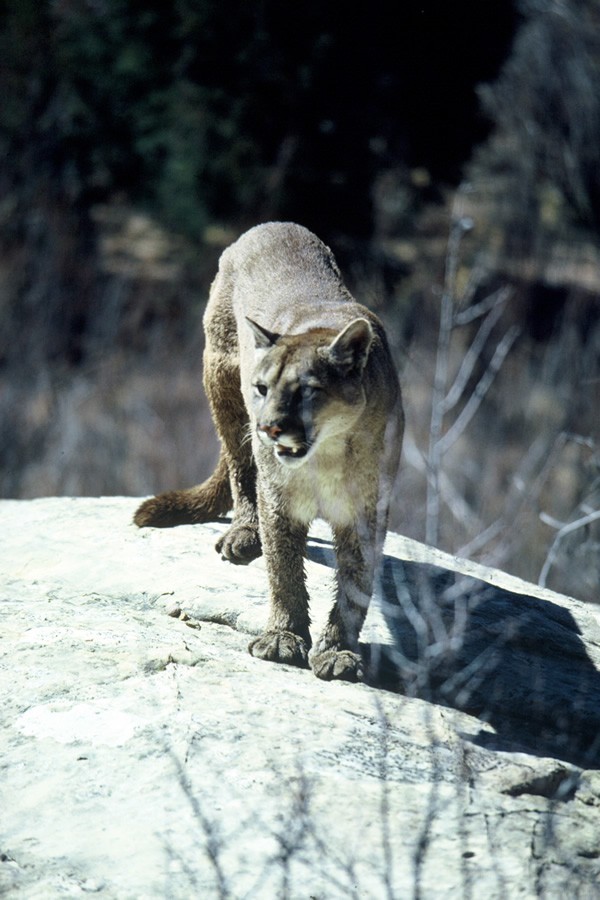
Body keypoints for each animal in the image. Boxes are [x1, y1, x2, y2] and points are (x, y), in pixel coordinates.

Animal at [136, 221, 404, 680]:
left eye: (307, 391)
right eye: (262, 388)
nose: (267, 427)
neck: (326, 457)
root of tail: (272, 225)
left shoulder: (367, 511)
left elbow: (356, 583)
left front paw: (338, 651)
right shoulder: (280, 500)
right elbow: (284, 570)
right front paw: (283, 638)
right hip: (221, 383)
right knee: (241, 469)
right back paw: (243, 534)